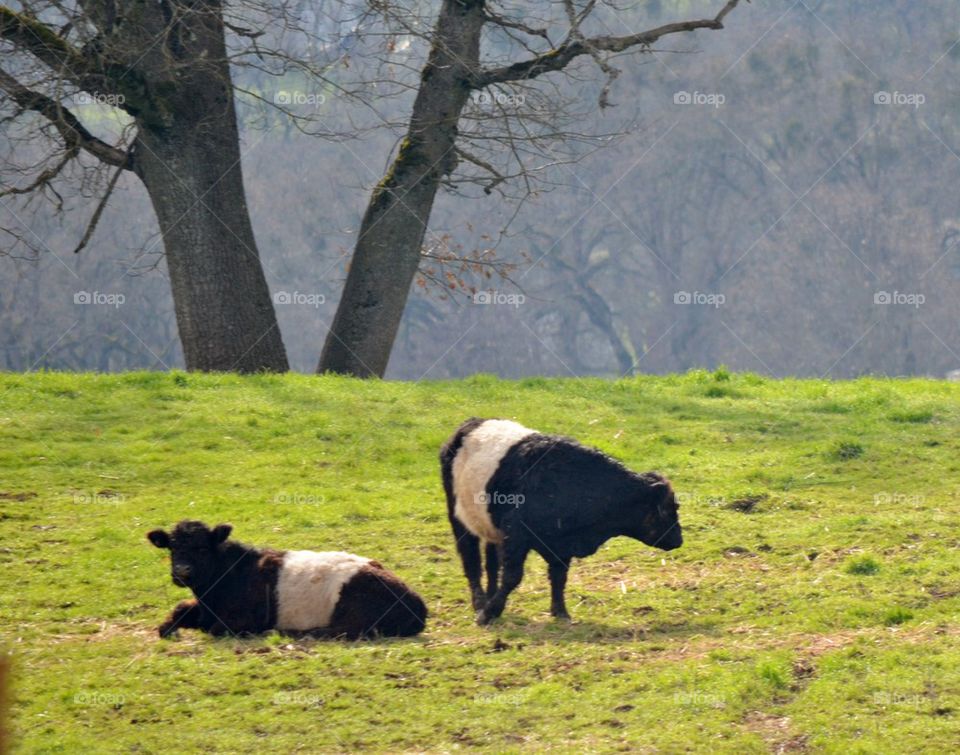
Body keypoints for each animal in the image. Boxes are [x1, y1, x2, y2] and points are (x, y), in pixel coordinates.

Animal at [442, 416, 684, 624]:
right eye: (665, 510)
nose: (679, 540)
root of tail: (471, 423)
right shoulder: (517, 534)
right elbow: (512, 577)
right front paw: (490, 612)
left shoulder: (561, 545)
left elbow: (559, 577)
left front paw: (560, 612)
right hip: (459, 519)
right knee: (471, 560)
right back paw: (480, 602)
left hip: (489, 525)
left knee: (491, 562)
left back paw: (489, 596)